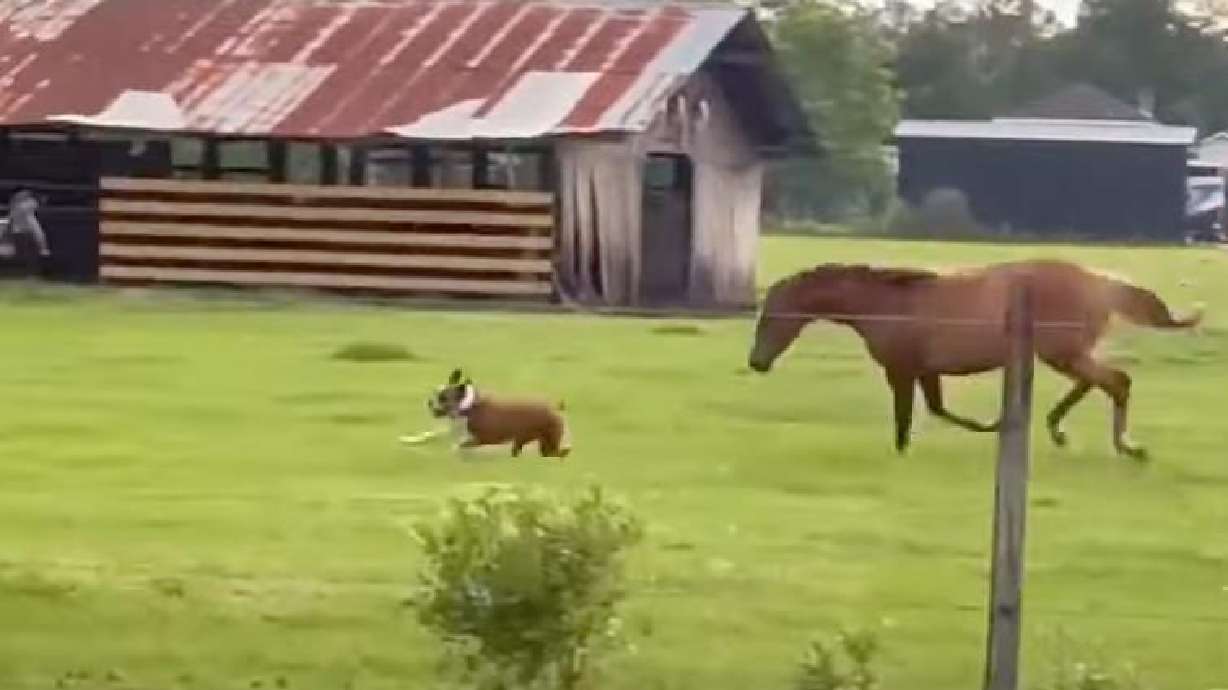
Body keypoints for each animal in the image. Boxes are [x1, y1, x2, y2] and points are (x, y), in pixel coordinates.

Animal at [747, 259, 1203, 458]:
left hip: (1061, 352)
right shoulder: (925, 371)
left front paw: (902, 452)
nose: (756, 362)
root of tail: (1099, 281)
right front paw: (995, 424)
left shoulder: (901, 370)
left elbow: (907, 417)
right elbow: (938, 409)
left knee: (1116, 382)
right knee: (1099, 382)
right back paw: (1059, 430)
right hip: (1066, 353)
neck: (886, 303)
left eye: (769, 317)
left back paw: (1125, 446)